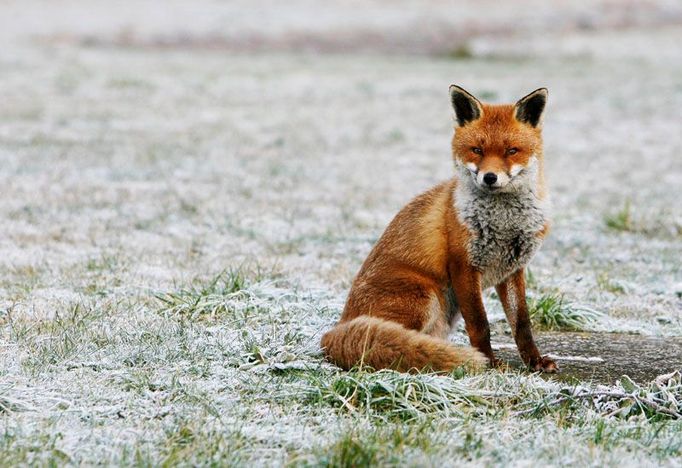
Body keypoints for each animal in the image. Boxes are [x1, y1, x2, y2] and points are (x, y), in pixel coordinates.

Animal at [320, 86, 556, 374]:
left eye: (512, 151)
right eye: (477, 150)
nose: (489, 178)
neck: (505, 224)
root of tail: (334, 330)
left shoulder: (512, 270)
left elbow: (522, 325)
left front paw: (535, 362)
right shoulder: (464, 266)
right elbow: (480, 325)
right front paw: (488, 362)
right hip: (426, 296)